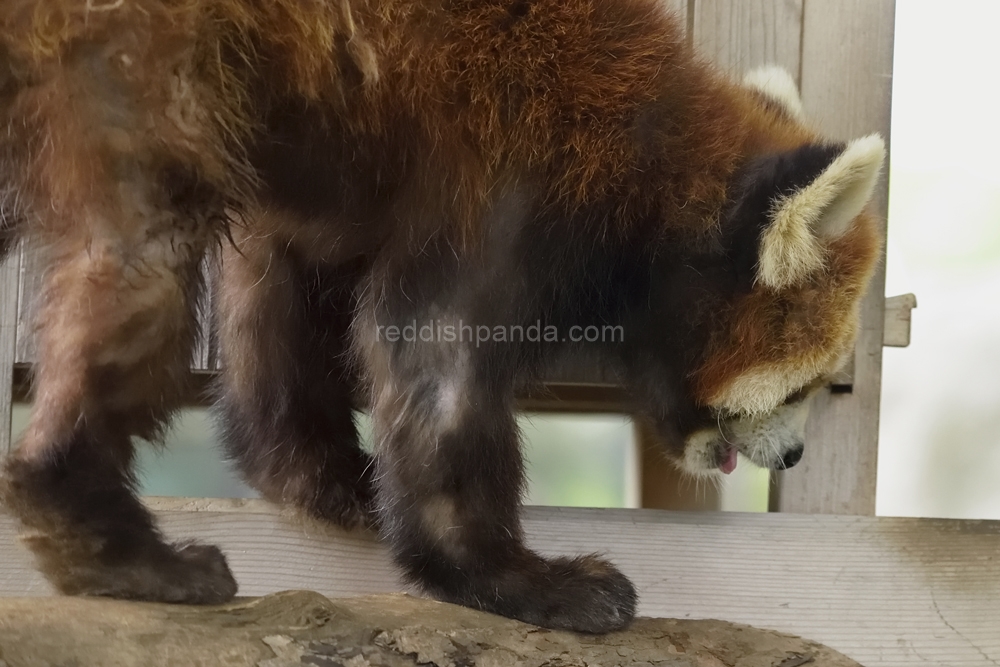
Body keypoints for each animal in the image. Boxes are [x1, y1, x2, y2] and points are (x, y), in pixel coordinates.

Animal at [0, 0, 884, 636]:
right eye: (802, 385)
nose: (797, 454)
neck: (646, 158)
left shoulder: (324, 185)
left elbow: (274, 326)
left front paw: (328, 482)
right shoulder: (506, 172)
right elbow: (436, 362)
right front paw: (519, 580)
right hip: (143, 67)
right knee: (134, 265)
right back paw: (112, 543)